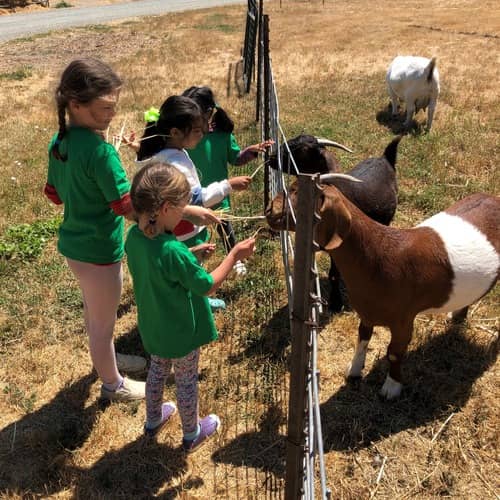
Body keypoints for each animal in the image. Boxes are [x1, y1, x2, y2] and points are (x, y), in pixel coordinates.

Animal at [268, 180, 498, 398]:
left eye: (297, 192)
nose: (270, 209)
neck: (380, 256)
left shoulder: (404, 318)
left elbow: (394, 352)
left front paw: (391, 388)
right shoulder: (368, 310)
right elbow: (363, 336)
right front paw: (354, 370)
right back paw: (457, 316)